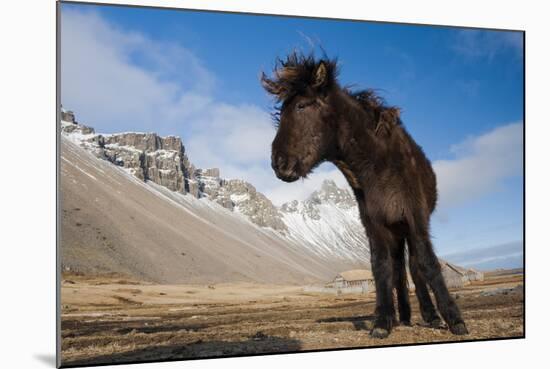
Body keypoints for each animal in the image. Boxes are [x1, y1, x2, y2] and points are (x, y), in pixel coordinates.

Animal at [260, 53, 468, 338]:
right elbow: (380, 268)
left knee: (414, 267)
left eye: (302, 106)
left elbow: (428, 263)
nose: (279, 163)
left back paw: (431, 316)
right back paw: (403, 316)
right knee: (399, 270)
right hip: (395, 230)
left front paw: (454, 319)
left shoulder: (415, 217)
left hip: (406, 227)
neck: (378, 165)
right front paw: (382, 321)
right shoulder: (375, 223)